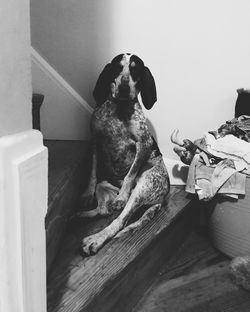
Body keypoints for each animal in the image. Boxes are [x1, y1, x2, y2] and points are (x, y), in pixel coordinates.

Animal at [79, 52, 170, 255]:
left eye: (136, 70)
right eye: (117, 68)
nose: (123, 87)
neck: (118, 110)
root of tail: (163, 197)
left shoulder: (143, 145)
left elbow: (130, 175)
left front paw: (121, 196)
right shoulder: (95, 140)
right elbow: (91, 173)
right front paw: (86, 194)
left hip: (142, 188)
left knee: (119, 220)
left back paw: (96, 238)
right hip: (104, 185)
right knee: (103, 210)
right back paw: (77, 216)